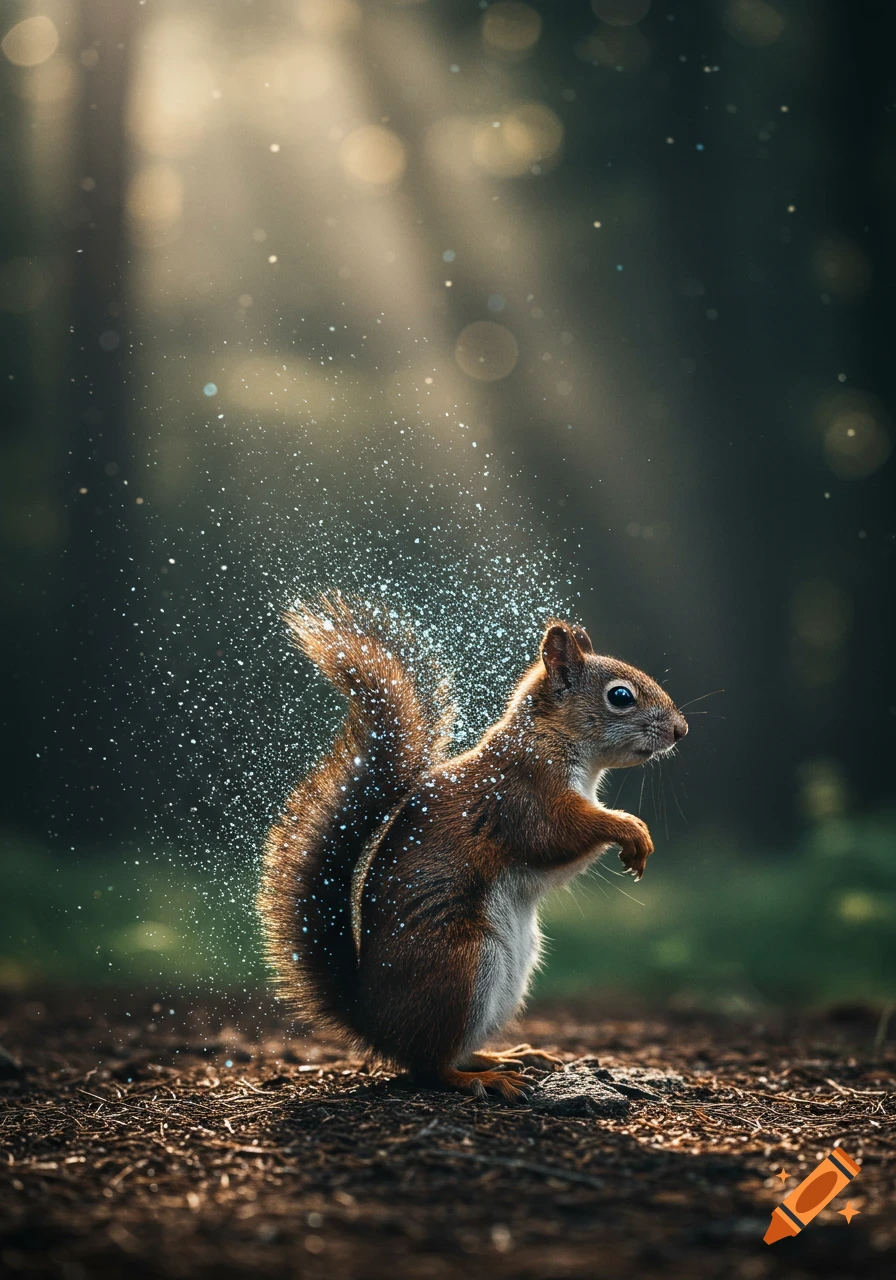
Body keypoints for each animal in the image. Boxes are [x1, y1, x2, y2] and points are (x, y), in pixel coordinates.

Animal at [259, 595, 687, 1101]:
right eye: (620, 696)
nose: (681, 730)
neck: (551, 737)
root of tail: (373, 1021)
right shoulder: (525, 793)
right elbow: (555, 834)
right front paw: (630, 829)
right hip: (463, 964)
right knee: (428, 1067)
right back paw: (486, 1079)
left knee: (451, 1052)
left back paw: (506, 1057)